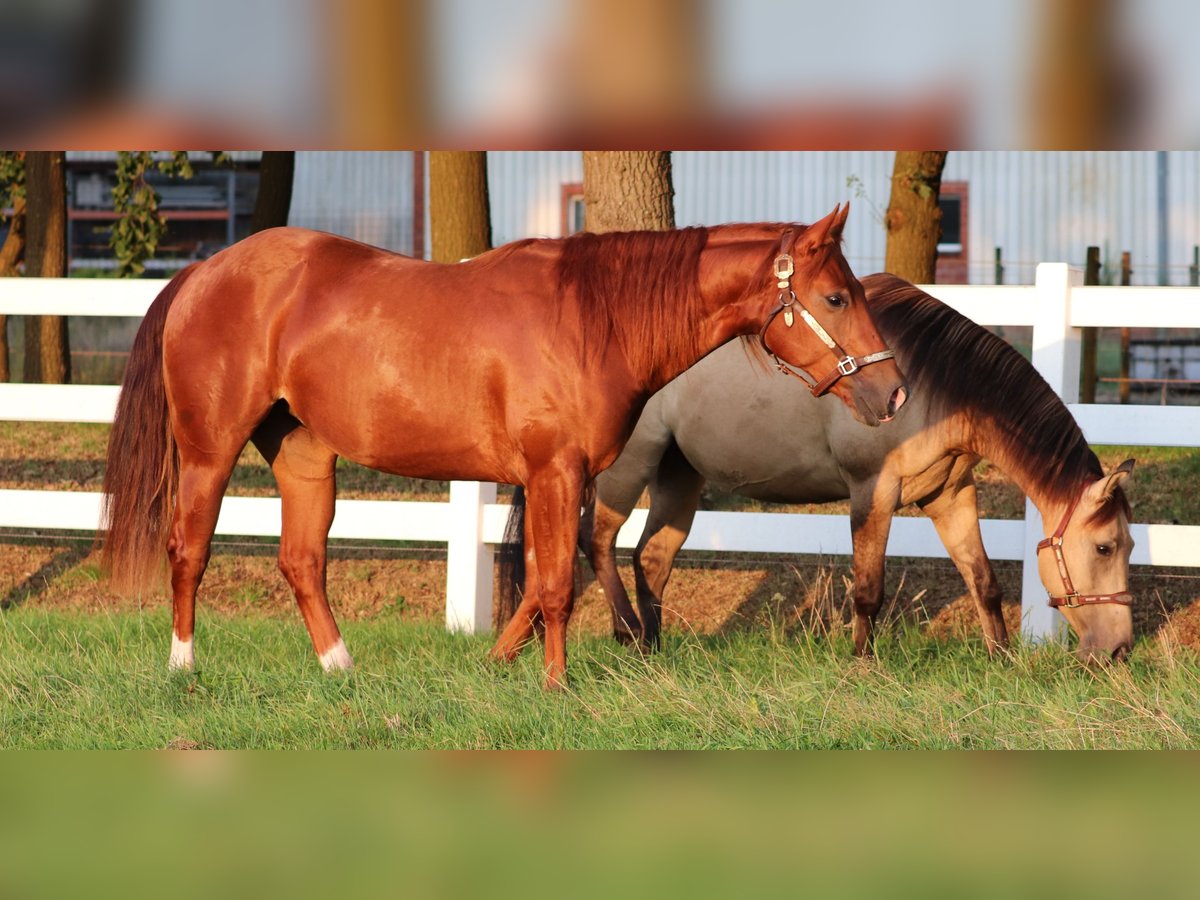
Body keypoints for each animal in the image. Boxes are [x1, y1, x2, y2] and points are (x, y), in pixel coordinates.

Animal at [100, 205, 909, 689]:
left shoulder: (566, 475)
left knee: (302, 562)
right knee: (188, 550)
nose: (894, 393)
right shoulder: (555, 471)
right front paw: (554, 683)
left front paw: (499, 660)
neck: (593, 318)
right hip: (209, 450)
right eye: (836, 297)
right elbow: (554, 585)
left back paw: (340, 668)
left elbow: (556, 575)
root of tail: (204, 270)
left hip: (305, 453)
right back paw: (182, 667)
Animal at [577, 273, 1136, 664]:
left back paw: (652, 652)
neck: (931, 382)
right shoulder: (874, 490)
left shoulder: (951, 494)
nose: (1119, 649)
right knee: (597, 541)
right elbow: (868, 591)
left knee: (651, 558)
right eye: (1104, 547)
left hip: (679, 475)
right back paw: (627, 635)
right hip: (628, 467)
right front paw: (862, 665)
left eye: (1129, 545)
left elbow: (984, 580)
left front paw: (999, 660)